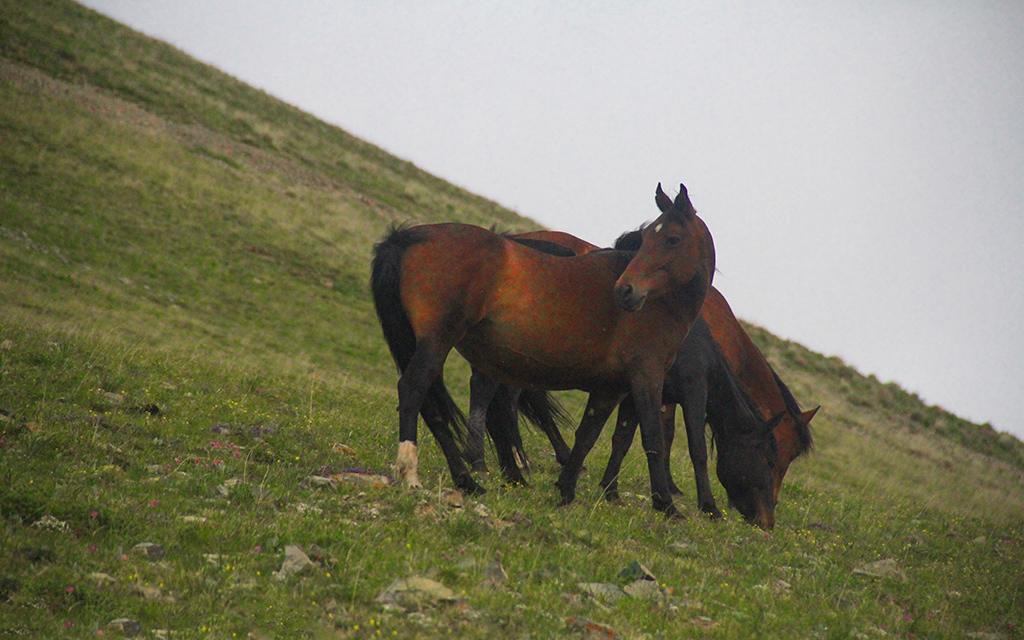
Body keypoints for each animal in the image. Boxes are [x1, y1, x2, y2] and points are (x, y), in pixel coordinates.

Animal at [372, 181, 716, 514]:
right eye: (645, 240)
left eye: (672, 239)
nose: (625, 292)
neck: (662, 302)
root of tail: (406, 238)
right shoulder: (646, 377)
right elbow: (652, 438)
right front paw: (668, 505)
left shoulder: (612, 387)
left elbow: (589, 435)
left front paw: (566, 490)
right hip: (437, 341)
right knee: (414, 389)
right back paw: (414, 475)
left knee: (432, 403)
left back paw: (468, 480)